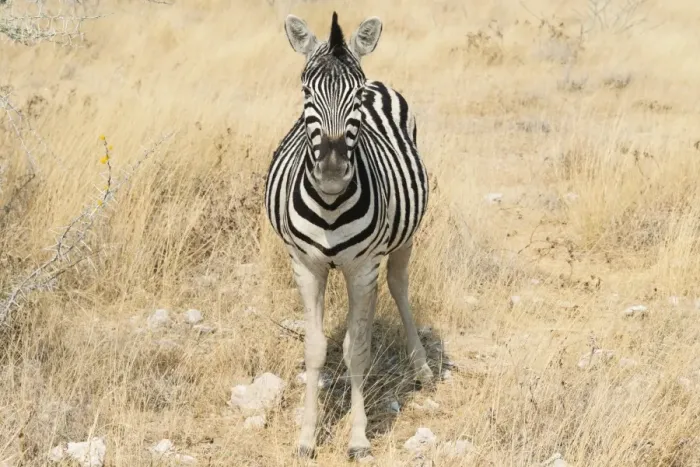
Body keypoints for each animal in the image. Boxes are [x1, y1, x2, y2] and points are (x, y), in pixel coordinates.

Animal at [264, 11, 433, 459]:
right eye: (306, 90)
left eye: (354, 94)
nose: (332, 172)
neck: (330, 206)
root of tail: (381, 83)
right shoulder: (305, 265)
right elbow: (316, 349)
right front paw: (306, 437)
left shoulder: (362, 266)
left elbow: (356, 351)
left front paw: (358, 438)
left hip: (401, 240)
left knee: (398, 287)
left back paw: (422, 366)